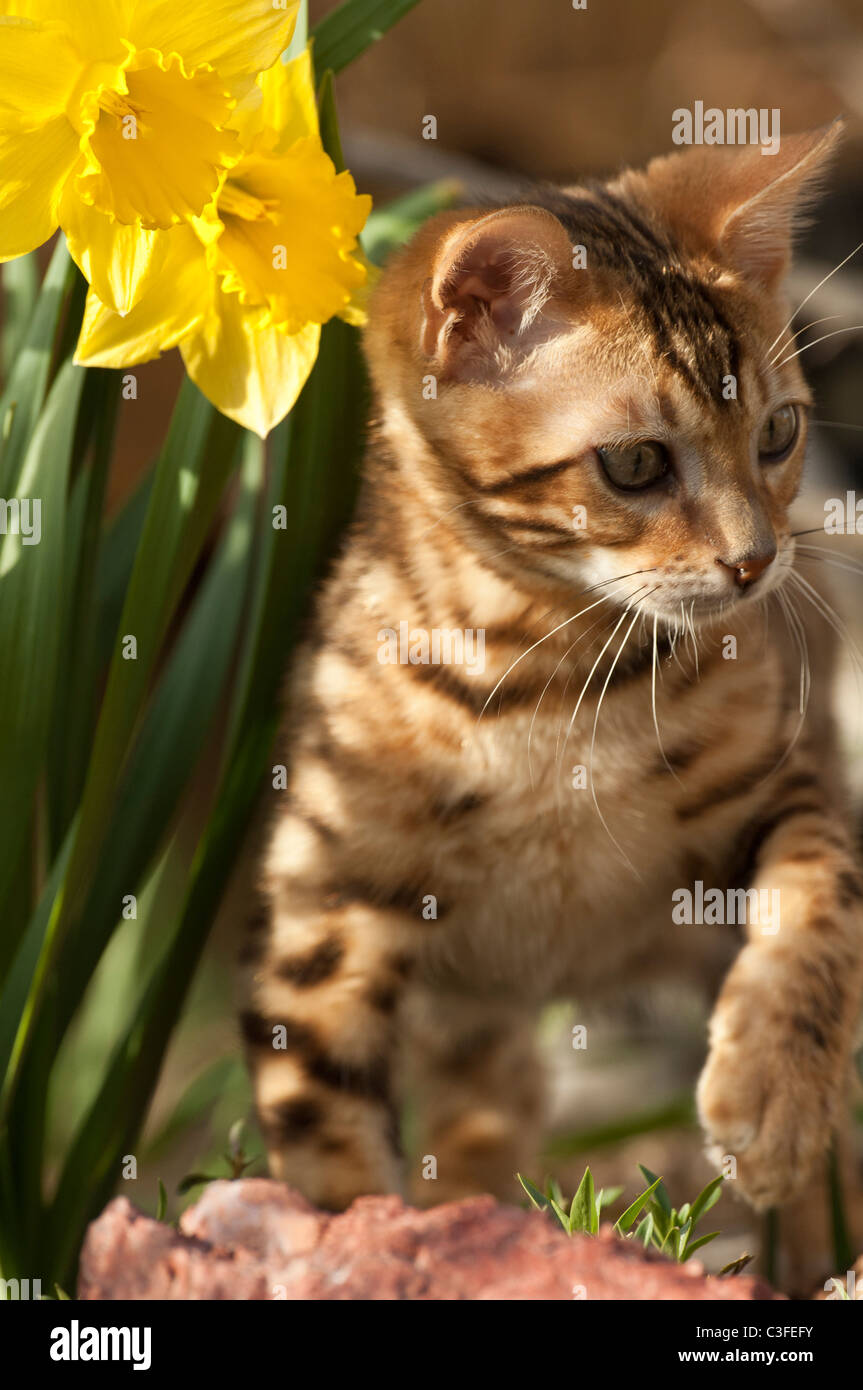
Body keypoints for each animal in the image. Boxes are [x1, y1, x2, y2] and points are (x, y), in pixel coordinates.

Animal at [240, 125, 861, 1239]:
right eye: (633, 463)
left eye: (777, 434)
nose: (756, 563)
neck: (553, 681)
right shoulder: (328, 894)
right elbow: (322, 1127)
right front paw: (347, 1230)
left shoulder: (781, 782)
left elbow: (819, 894)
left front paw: (774, 1094)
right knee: (486, 1109)